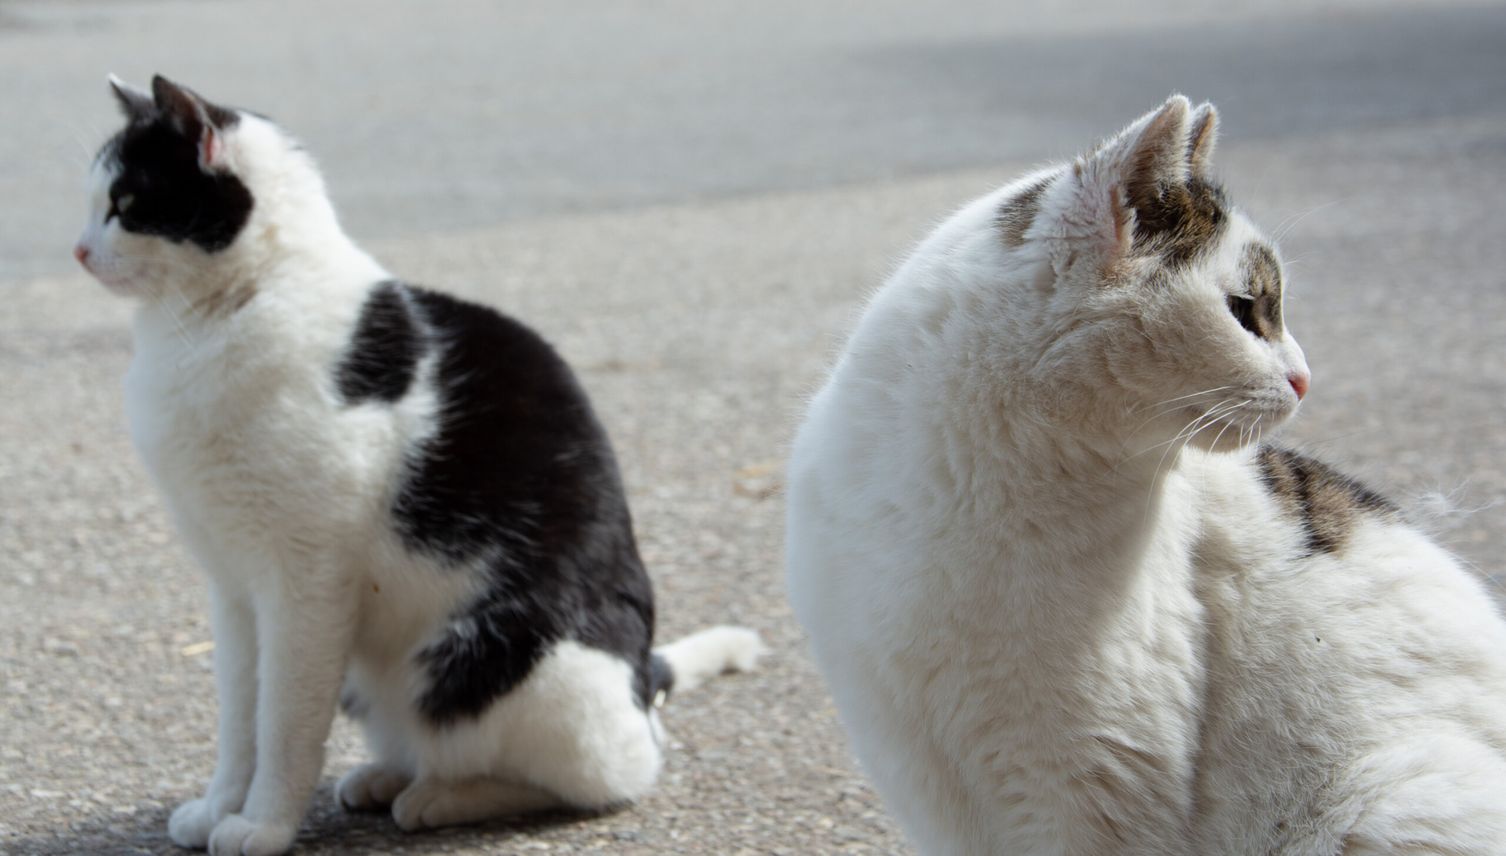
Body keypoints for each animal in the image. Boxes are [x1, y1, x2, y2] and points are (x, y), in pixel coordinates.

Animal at [77, 75, 765, 856]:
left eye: (126, 205)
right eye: (92, 200)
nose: (79, 250)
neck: (211, 319)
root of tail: (640, 678)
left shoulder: (306, 584)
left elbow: (284, 721)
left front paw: (264, 825)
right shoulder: (232, 586)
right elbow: (239, 718)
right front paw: (220, 805)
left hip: (504, 664)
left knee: (612, 774)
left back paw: (442, 798)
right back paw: (386, 778)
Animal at [783, 97, 1506, 856]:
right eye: (1245, 310)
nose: (1306, 379)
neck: (973, 491)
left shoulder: (1093, 782)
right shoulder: (916, 762)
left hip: (1385, 805)